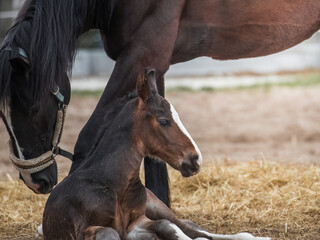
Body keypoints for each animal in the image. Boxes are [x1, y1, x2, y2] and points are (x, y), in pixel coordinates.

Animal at [0, 0, 320, 204]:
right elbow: (153, 152)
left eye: (33, 109)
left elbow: (87, 138)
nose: (35, 180)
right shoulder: (153, 63)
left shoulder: (141, 53)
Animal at [41, 69, 268, 240]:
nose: (196, 159)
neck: (111, 182)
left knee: (189, 226)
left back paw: (250, 236)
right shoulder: (88, 229)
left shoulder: (138, 222)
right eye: (164, 121)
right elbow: (110, 233)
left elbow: (166, 226)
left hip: (156, 204)